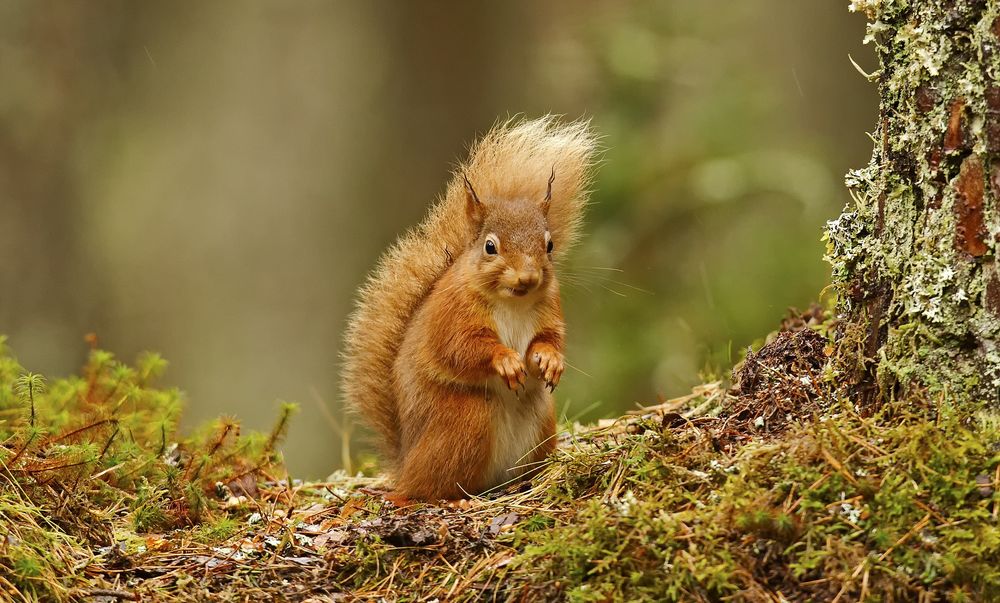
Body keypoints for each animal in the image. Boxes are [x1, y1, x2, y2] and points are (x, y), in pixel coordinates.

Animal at [342, 117, 597, 501]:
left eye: (549, 245)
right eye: (490, 247)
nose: (528, 277)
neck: (512, 302)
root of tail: (406, 461)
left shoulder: (550, 309)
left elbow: (550, 338)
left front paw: (550, 361)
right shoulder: (452, 314)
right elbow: (460, 348)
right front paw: (505, 361)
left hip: (541, 422)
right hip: (467, 421)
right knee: (424, 490)